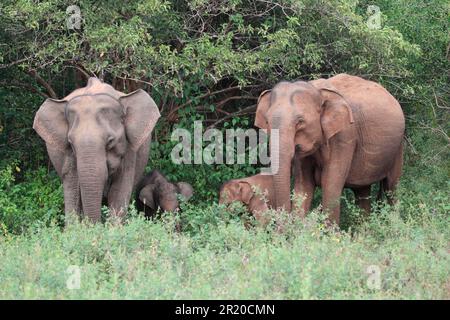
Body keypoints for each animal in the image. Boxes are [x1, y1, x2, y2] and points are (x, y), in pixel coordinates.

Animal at [33, 77, 161, 222]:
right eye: (71, 143)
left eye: (110, 141)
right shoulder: (68, 155)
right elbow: (72, 185)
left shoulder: (129, 148)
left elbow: (120, 189)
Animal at [255, 74, 406, 226]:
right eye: (267, 121)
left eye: (300, 121)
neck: (317, 91)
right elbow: (304, 186)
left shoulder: (345, 136)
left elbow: (330, 185)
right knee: (362, 192)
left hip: (398, 147)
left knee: (391, 188)